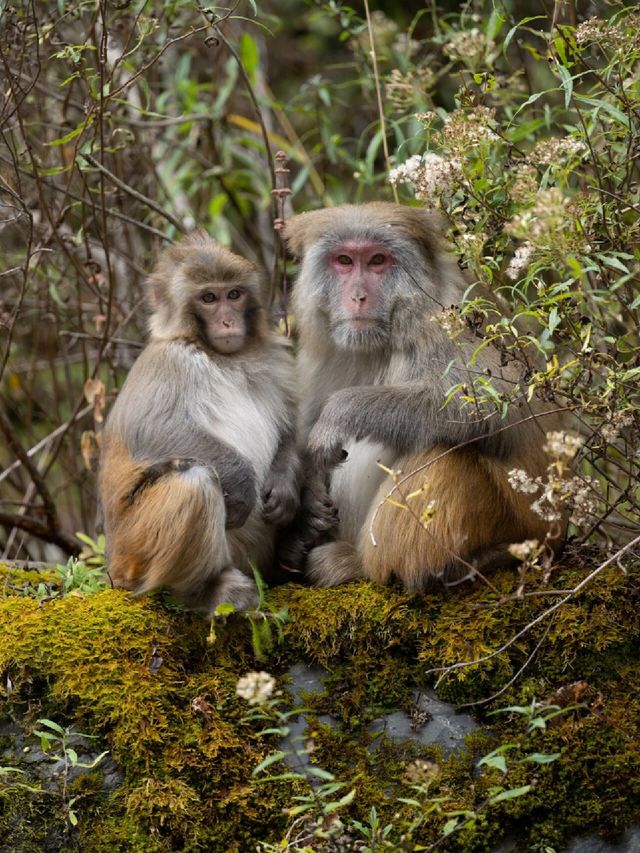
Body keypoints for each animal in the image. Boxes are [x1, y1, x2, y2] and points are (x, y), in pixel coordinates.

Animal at [99, 230, 302, 608]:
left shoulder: (276, 359)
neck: (222, 355)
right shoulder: (168, 361)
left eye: (233, 294)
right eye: (209, 298)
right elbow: (153, 429)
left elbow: (293, 426)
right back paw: (203, 590)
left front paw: (284, 486)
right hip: (135, 549)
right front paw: (242, 480)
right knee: (194, 480)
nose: (228, 321)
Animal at [280, 203, 564, 588]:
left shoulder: (448, 318)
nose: (358, 297)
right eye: (344, 260)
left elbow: (506, 408)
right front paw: (309, 502)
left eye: (377, 260)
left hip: (519, 528)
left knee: (443, 452)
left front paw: (340, 412)